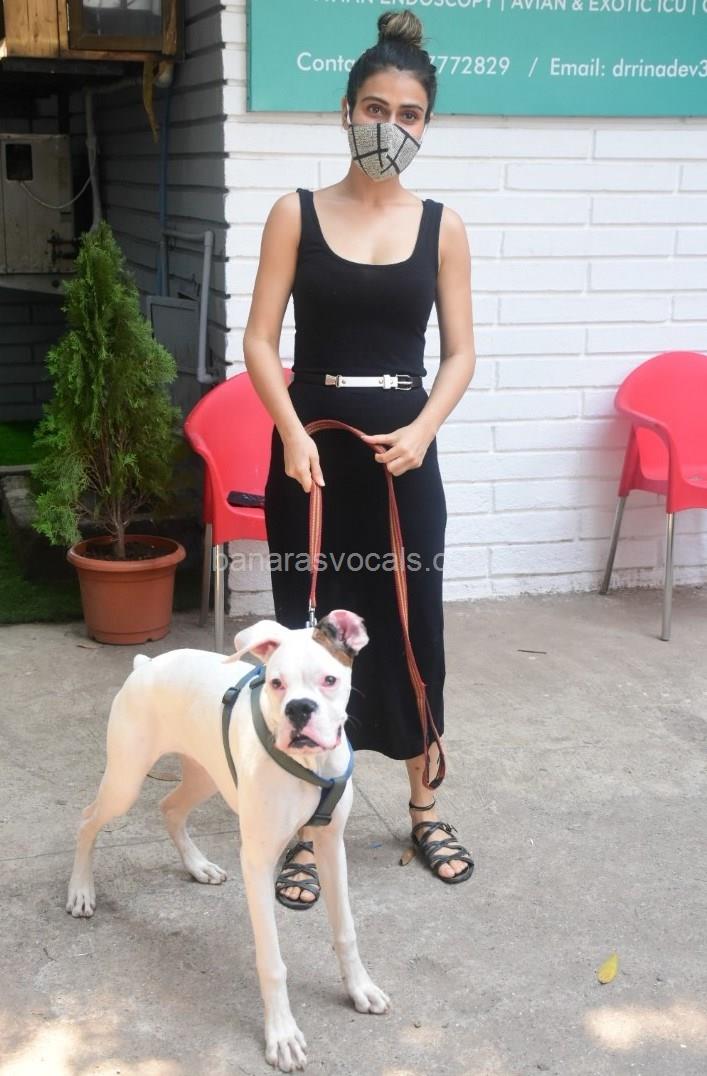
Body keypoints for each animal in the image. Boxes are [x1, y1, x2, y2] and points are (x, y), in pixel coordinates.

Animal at [66, 609, 389, 1072]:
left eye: (329, 680)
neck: (309, 764)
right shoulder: (257, 861)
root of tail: (146, 665)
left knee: (169, 807)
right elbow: (272, 962)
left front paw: (359, 988)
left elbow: (346, 930)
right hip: (125, 781)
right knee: (87, 821)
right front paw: (282, 1035)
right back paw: (80, 892)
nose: (299, 709)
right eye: (276, 683)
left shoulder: (331, 846)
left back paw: (197, 865)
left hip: (205, 775)